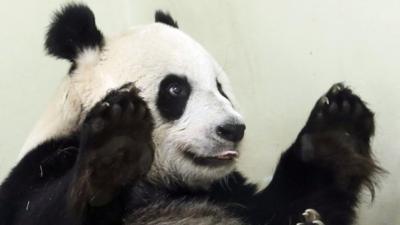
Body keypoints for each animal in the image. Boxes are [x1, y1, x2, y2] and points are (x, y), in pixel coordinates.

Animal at [0, 3, 382, 225]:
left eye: (221, 86)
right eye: (175, 89)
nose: (233, 130)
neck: (163, 180)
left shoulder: (229, 195)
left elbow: (293, 206)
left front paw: (338, 130)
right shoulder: (38, 167)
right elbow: (40, 210)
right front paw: (116, 143)